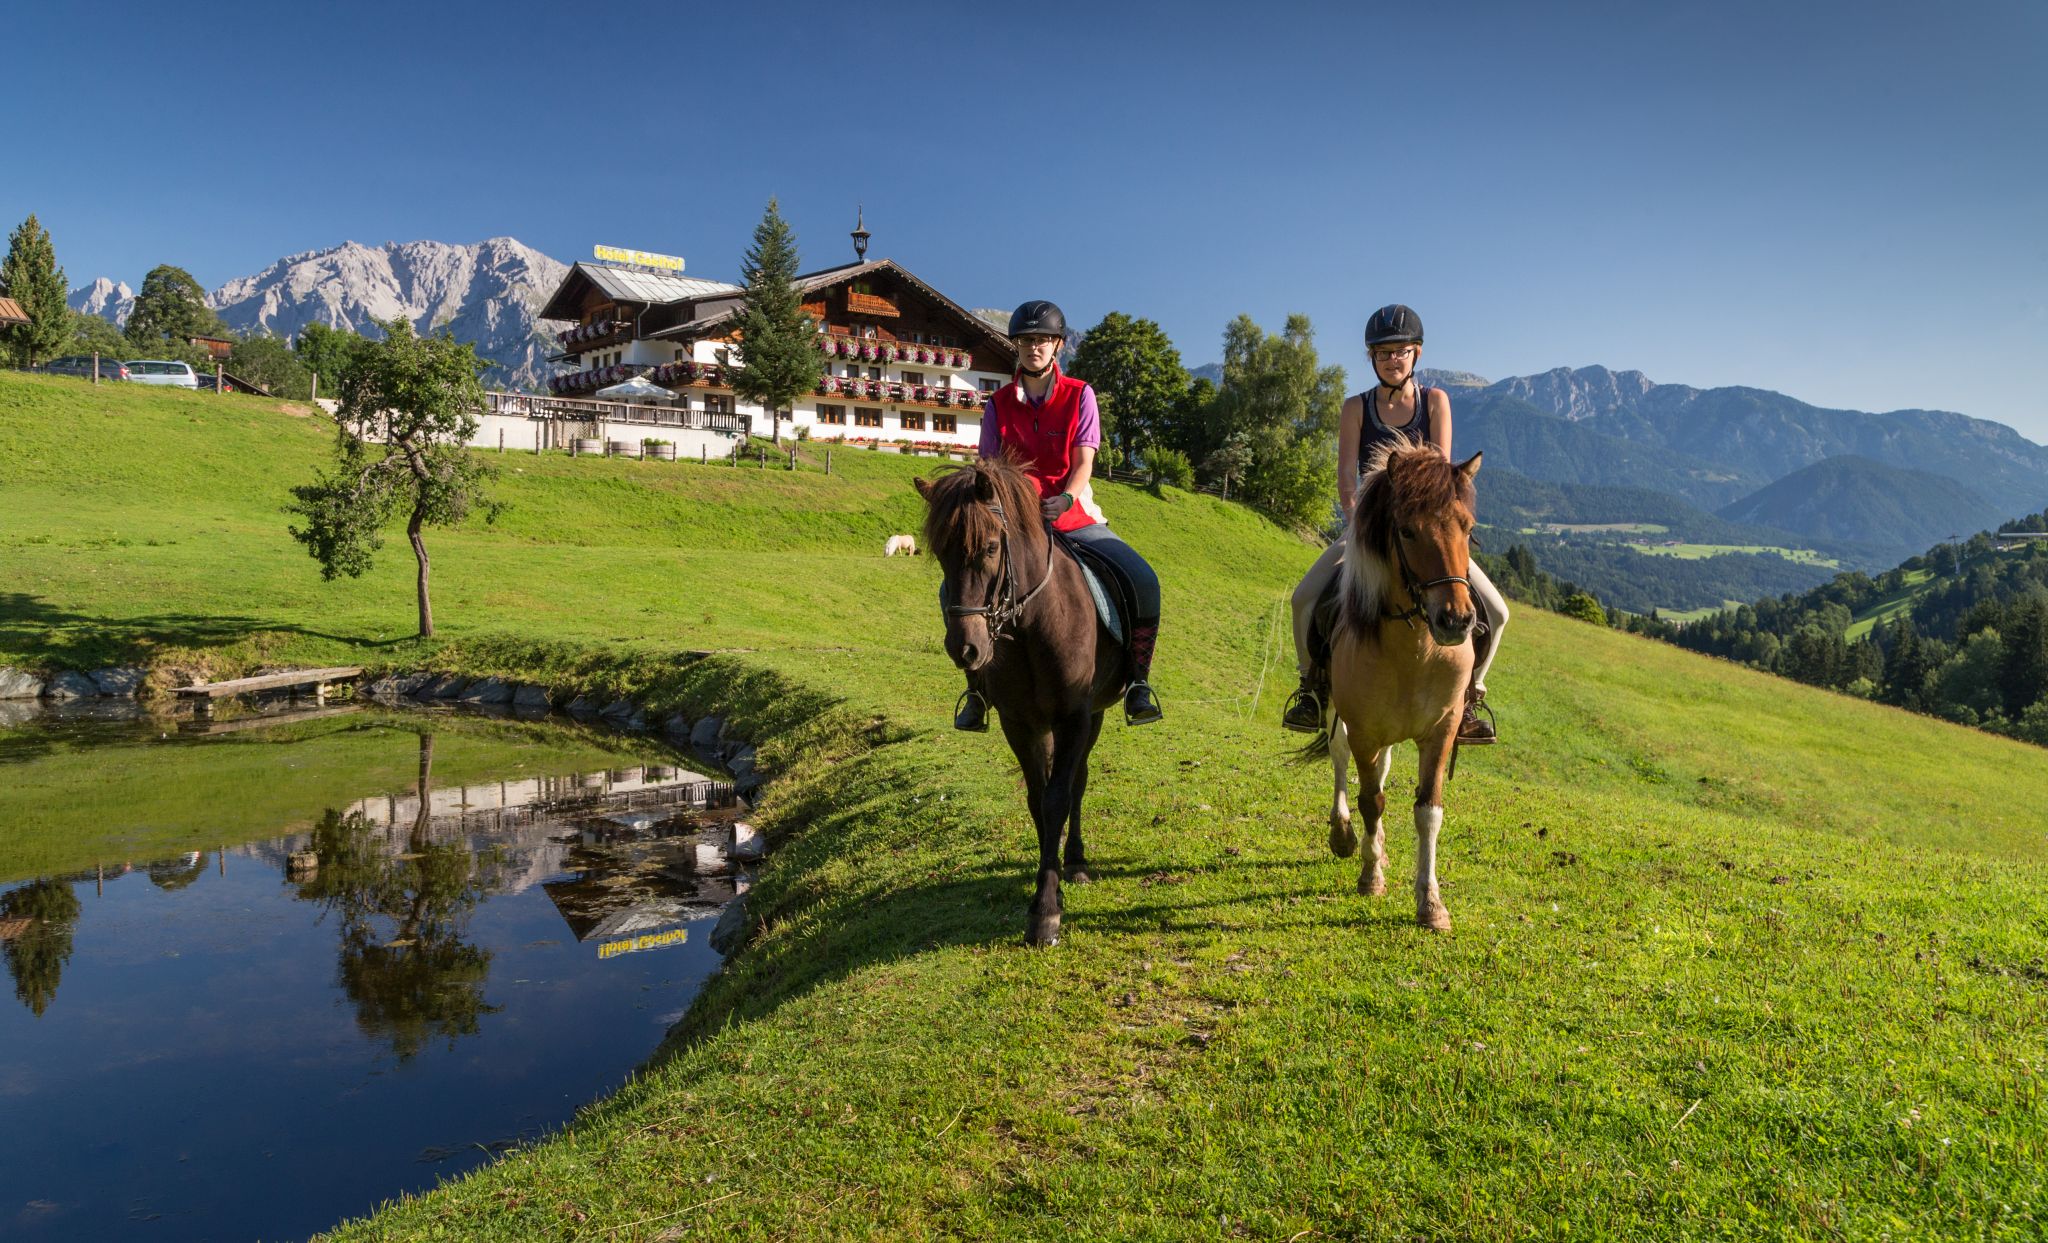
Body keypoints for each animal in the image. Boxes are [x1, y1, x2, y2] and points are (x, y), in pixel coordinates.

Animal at [921, 462, 1130, 950]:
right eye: (940, 552)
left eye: (991, 547)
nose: (965, 649)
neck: (1033, 625)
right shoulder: (1019, 723)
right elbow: (1038, 800)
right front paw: (1045, 893)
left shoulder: (1074, 716)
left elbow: (1057, 799)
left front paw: (1046, 911)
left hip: (1094, 714)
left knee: (1077, 782)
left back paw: (1076, 861)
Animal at [1318, 442, 1482, 929]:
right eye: (1407, 531)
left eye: (1468, 529)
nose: (1456, 620)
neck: (1417, 650)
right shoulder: (1364, 731)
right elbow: (1371, 801)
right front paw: (1370, 877)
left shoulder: (1442, 731)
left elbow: (1428, 811)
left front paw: (1430, 903)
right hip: (1337, 711)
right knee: (1339, 758)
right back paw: (1344, 836)